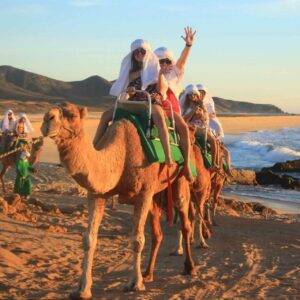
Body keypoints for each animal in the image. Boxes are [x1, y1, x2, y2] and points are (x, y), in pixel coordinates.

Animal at [40, 102, 195, 298]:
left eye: (73, 115)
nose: (47, 119)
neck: (121, 154)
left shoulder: (143, 193)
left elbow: (137, 239)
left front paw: (135, 284)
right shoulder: (97, 194)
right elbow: (89, 239)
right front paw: (82, 289)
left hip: (178, 178)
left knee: (184, 221)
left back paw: (189, 268)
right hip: (154, 195)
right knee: (157, 233)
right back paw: (148, 273)